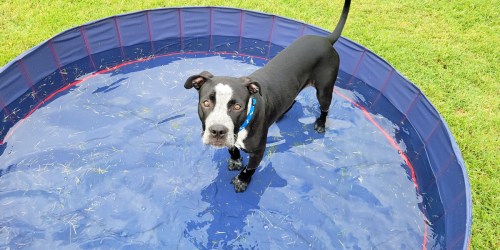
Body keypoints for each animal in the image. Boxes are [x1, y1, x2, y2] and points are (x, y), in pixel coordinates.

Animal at [185, 0, 352, 192]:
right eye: (206, 103)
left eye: (237, 107)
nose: (218, 131)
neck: (242, 126)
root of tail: (326, 39)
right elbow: (233, 149)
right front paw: (235, 160)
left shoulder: (258, 151)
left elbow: (250, 168)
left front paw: (242, 181)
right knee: (292, 99)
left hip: (324, 89)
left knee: (324, 108)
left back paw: (320, 124)